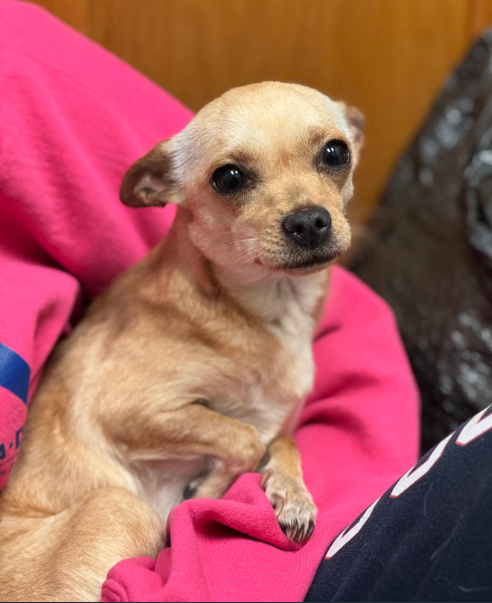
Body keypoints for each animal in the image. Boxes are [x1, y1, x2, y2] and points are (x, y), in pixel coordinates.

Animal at [0, 82, 362, 600]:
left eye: (336, 152)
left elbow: (283, 439)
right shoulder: (128, 409)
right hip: (120, 505)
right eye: (228, 178)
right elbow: (241, 435)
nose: (310, 221)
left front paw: (291, 494)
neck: (268, 312)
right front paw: (208, 494)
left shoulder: (277, 417)